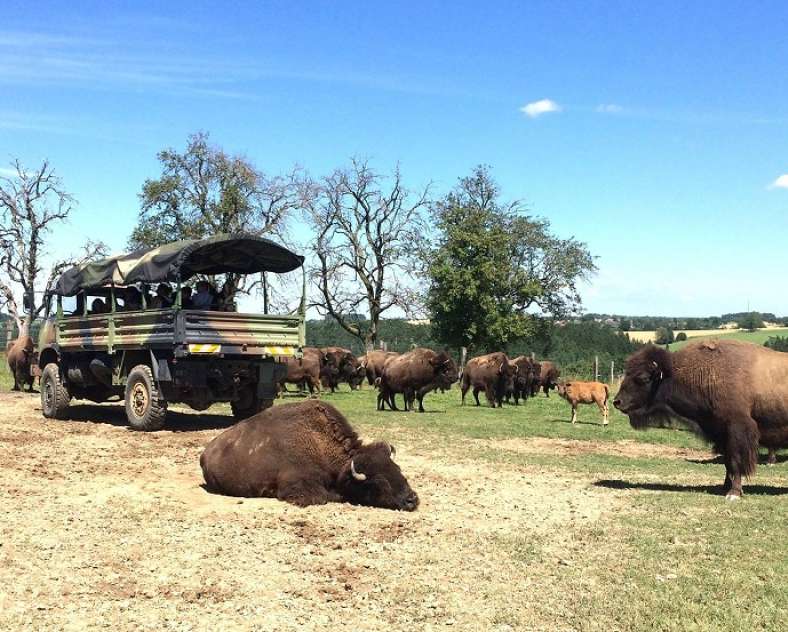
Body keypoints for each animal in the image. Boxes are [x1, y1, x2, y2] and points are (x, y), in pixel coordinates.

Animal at [200, 399, 419, 510]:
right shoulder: (298, 488)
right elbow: (325, 496)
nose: (412, 500)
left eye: (399, 471)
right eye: (380, 482)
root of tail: (206, 453)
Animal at [614, 340, 788, 500]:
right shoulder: (721, 434)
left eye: (643, 377)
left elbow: (735, 462)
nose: (617, 401)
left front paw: (733, 493)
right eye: (626, 373)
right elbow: (728, 463)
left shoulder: (737, 430)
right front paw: (725, 487)